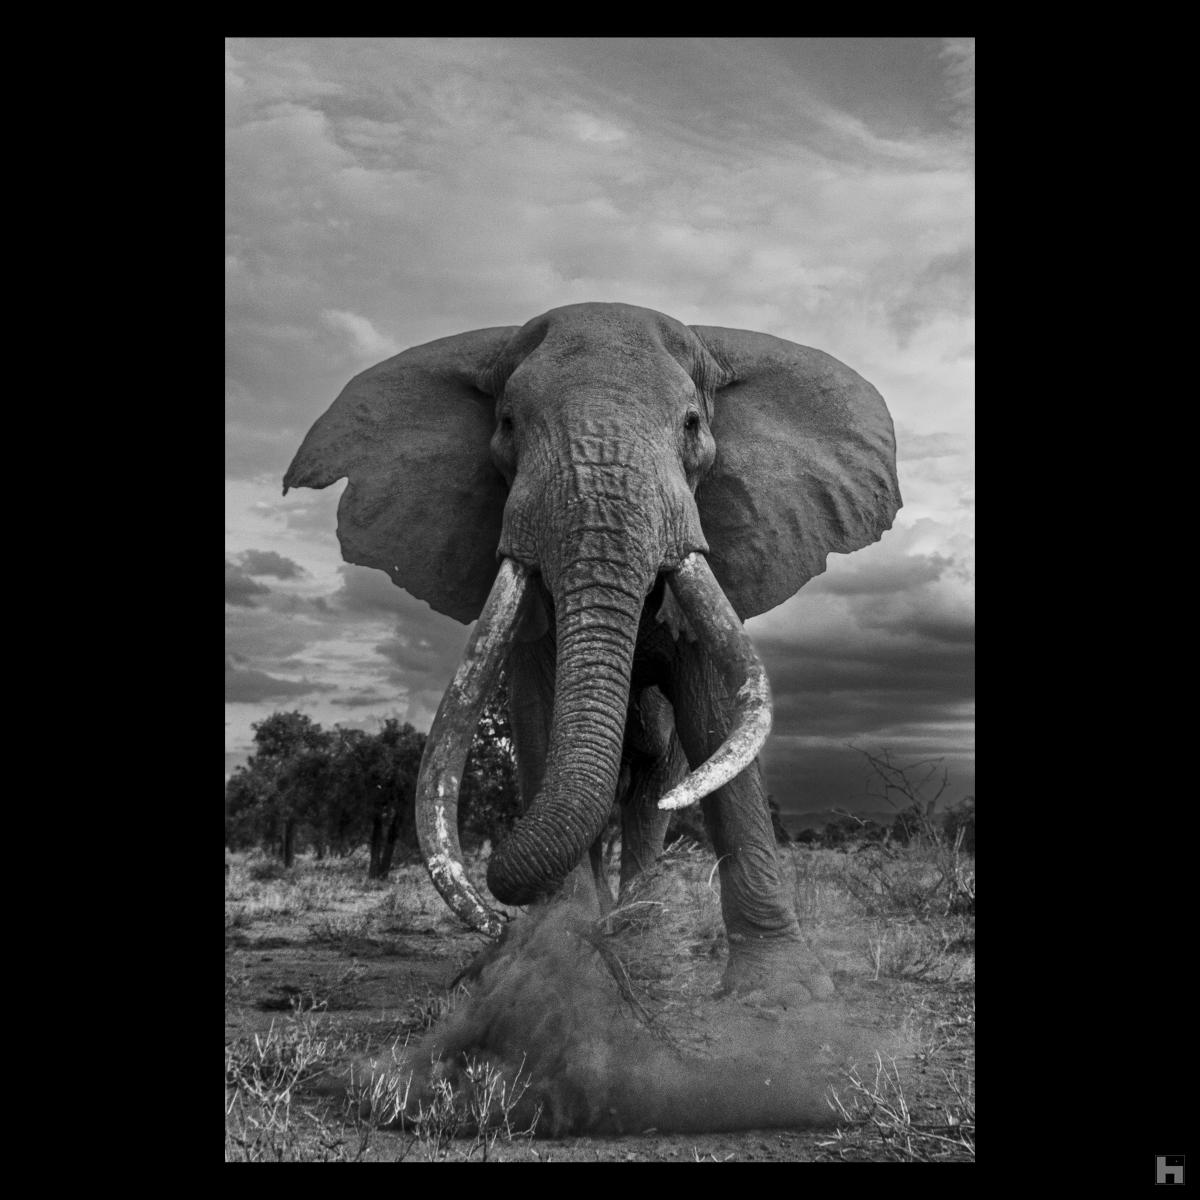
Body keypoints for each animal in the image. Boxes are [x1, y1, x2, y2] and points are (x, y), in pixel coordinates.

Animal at [283, 300, 902, 1003]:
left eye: (692, 424)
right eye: (507, 424)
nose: (496, 917)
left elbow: (714, 714)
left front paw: (786, 996)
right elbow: (537, 711)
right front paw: (551, 961)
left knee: (653, 792)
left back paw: (638, 931)